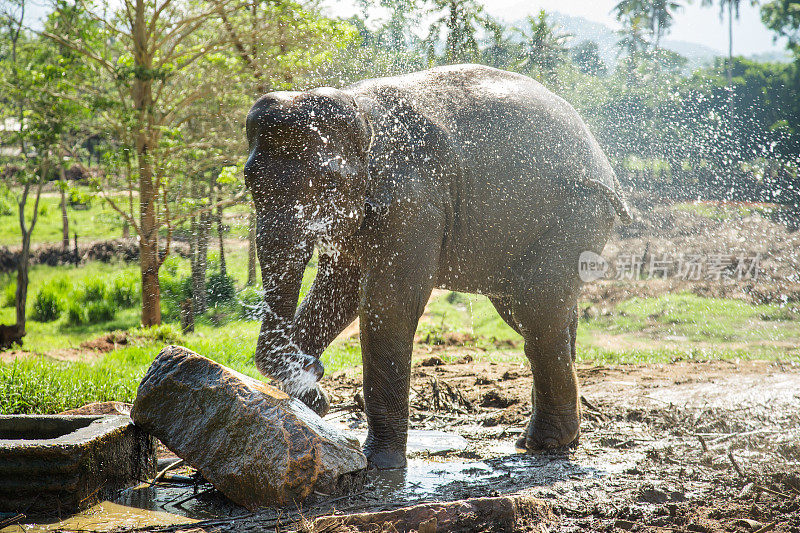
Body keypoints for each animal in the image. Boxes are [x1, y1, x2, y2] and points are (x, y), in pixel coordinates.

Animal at [244, 64, 632, 468]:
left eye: (330, 182)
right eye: (248, 179)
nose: (315, 371)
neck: (360, 111)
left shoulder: (414, 202)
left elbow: (390, 305)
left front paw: (379, 464)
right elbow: (338, 293)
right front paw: (307, 395)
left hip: (577, 211)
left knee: (535, 309)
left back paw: (545, 444)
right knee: (531, 314)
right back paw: (556, 439)